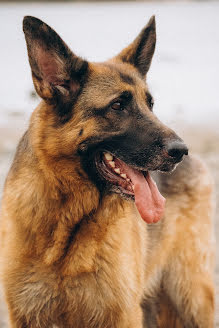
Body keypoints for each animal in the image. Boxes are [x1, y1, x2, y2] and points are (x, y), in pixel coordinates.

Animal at [0, 16, 216, 328]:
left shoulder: (122, 316)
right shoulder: (28, 316)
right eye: (117, 105)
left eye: (150, 105)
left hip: (192, 298)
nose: (180, 150)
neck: (69, 222)